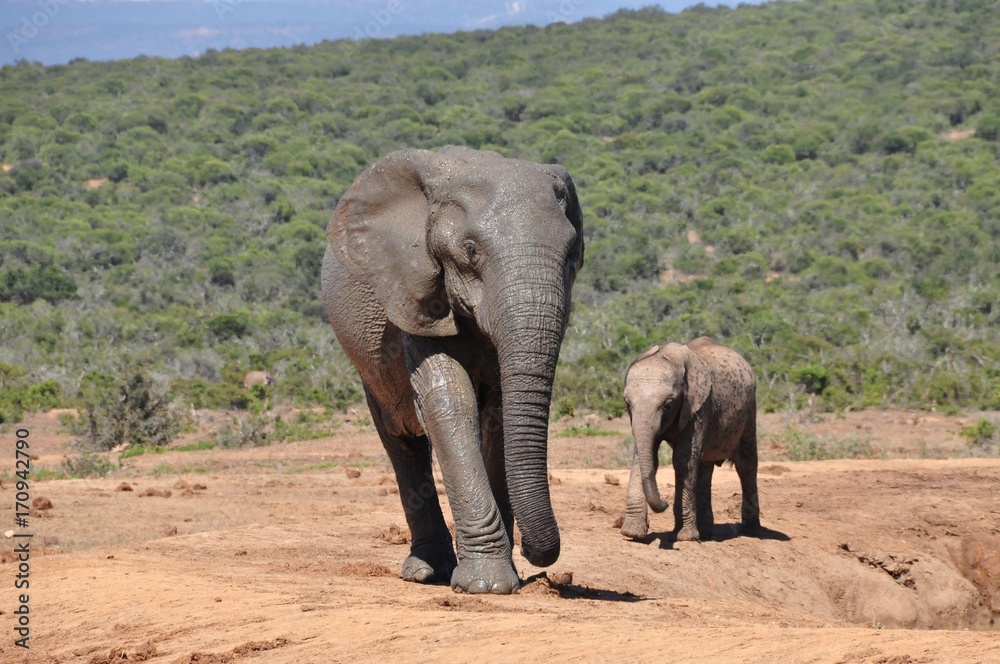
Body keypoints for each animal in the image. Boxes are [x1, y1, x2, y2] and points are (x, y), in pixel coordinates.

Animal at [320, 148, 584, 592]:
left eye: (571, 256)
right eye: (471, 249)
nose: (537, 554)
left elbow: (496, 416)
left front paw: (503, 578)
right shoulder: (416, 288)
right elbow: (448, 401)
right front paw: (485, 586)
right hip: (369, 367)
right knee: (400, 441)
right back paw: (426, 572)